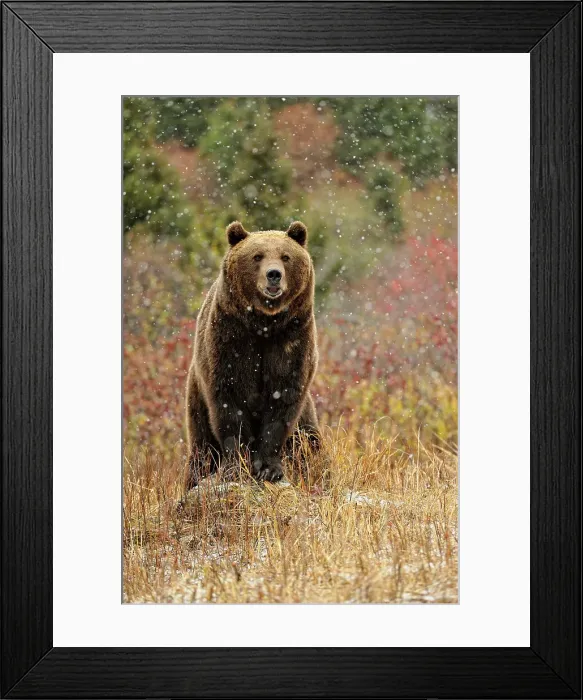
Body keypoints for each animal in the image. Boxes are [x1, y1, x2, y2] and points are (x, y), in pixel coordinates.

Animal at [185, 220, 320, 488]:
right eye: (257, 256)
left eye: (286, 256)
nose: (274, 274)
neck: (264, 324)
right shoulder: (230, 340)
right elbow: (230, 404)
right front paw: (237, 467)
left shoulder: (292, 340)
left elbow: (283, 401)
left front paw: (269, 469)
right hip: (197, 402)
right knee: (202, 448)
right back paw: (196, 478)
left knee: (310, 444)